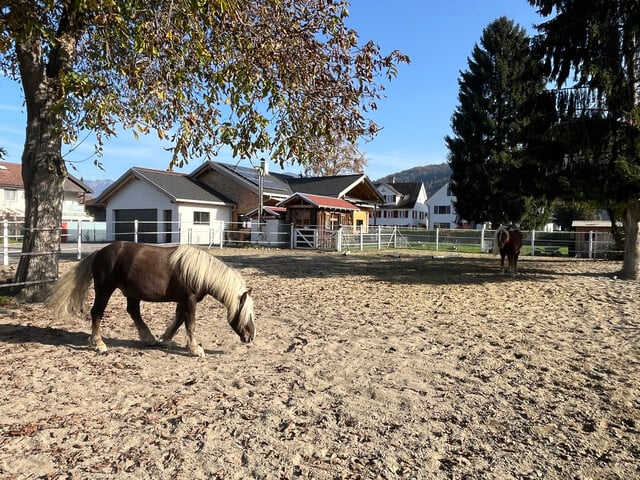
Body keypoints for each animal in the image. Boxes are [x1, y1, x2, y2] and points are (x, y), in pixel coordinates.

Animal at [47, 240, 255, 356]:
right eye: (246, 314)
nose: (250, 336)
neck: (197, 271)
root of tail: (100, 252)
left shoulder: (183, 301)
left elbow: (178, 320)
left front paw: (166, 339)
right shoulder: (189, 300)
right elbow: (190, 324)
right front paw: (195, 349)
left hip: (131, 293)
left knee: (133, 311)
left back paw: (149, 338)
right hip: (105, 289)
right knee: (97, 312)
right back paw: (99, 344)